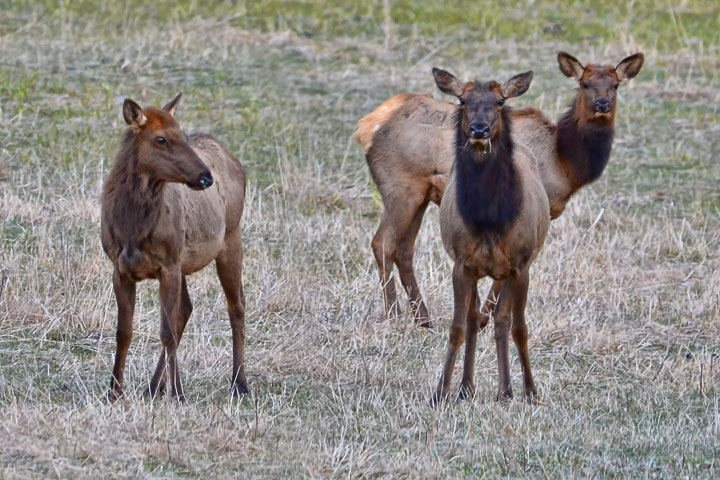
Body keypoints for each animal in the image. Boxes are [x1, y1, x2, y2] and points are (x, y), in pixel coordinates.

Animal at [100, 94, 249, 402]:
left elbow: (166, 331)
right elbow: (124, 331)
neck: (132, 227)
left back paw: (239, 384)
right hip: (183, 261)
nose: (205, 177)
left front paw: (178, 392)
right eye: (161, 139)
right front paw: (114, 391)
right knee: (187, 309)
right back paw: (153, 386)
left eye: (182, 134)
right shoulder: (120, 268)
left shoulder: (167, 265)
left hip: (231, 236)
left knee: (237, 306)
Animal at [424, 68, 548, 404]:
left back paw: (505, 391)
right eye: (462, 100)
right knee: (476, 319)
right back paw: (468, 387)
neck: (490, 220)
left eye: (500, 101)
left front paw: (531, 391)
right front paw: (440, 391)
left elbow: (519, 328)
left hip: (508, 270)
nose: (479, 129)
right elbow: (457, 326)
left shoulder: (520, 265)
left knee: (502, 321)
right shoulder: (462, 264)